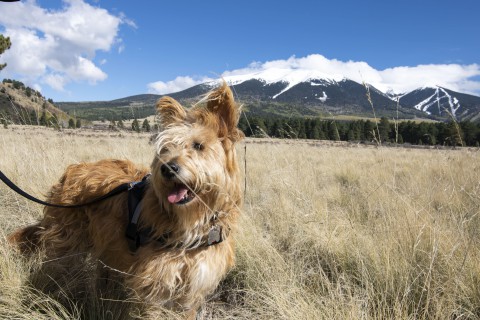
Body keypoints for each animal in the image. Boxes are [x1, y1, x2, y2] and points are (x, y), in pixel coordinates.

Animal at [8, 82, 244, 318]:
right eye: (166, 148)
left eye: (198, 146)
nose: (167, 168)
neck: (191, 223)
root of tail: (73, 170)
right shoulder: (154, 286)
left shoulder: (193, 288)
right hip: (66, 244)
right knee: (53, 270)